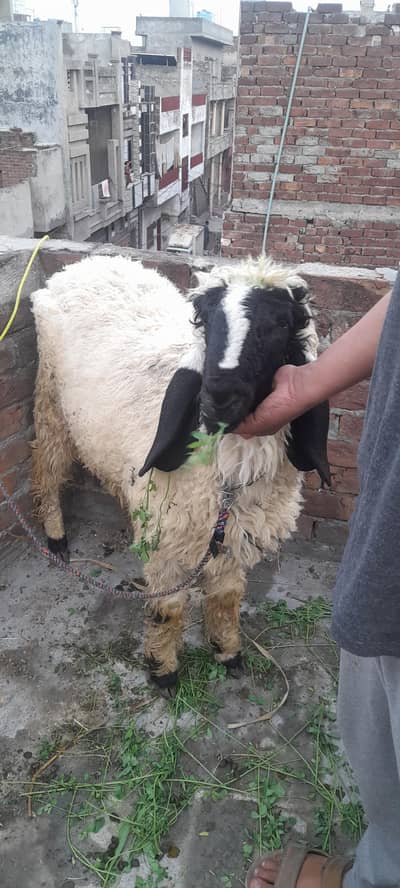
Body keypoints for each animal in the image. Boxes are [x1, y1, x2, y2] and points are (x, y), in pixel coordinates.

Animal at [31, 254, 330, 689]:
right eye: (204, 318)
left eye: (281, 323)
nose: (217, 398)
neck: (227, 480)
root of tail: (90, 261)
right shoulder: (166, 539)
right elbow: (168, 608)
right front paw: (163, 670)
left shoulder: (232, 538)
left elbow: (226, 597)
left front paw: (228, 651)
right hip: (51, 398)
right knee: (47, 467)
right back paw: (55, 536)